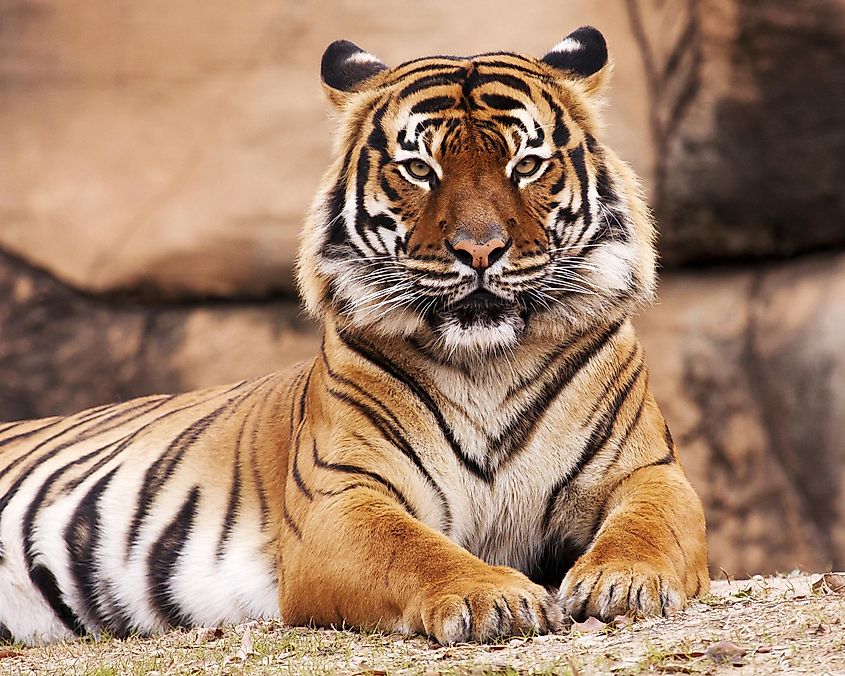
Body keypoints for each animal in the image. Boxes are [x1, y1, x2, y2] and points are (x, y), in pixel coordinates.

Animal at [0, 26, 709, 646]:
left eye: (527, 164)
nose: (480, 251)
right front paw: (492, 597)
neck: (488, 362)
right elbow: (412, 550)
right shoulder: (340, 498)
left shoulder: (648, 470)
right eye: (419, 168)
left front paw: (624, 582)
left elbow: (653, 525)